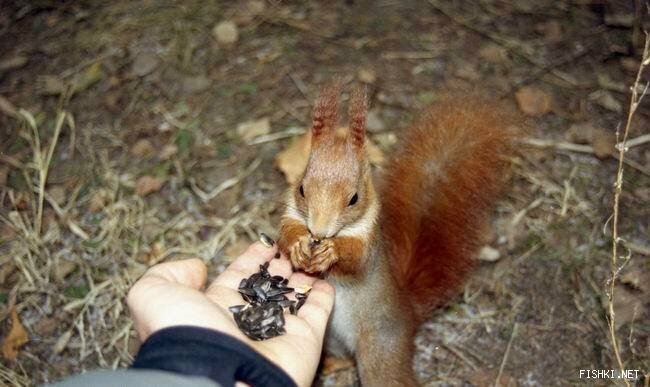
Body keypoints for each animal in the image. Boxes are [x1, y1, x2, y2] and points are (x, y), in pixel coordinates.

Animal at [276, 82, 512, 387]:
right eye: (302, 188)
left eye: (354, 198)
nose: (319, 231)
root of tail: (409, 313)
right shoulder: (293, 214)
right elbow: (285, 235)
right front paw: (299, 247)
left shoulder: (369, 242)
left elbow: (356, 261)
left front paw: (331, 252)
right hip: (333, 340)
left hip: (381, 351)